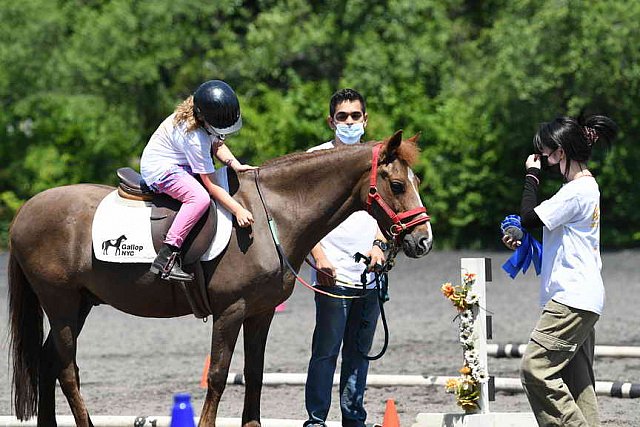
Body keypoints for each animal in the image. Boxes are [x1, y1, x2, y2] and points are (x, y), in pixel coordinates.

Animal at [8, 131, 430, 427]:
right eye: (397, 185)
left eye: (416, 182)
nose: (423, 240)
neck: (271, 215)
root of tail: (27, 210)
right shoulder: (231, 311)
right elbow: (218, 375)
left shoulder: (260, 314)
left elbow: (254, 375)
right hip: (61, 304)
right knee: (67, 370)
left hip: (79, 304)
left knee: (48, 362)